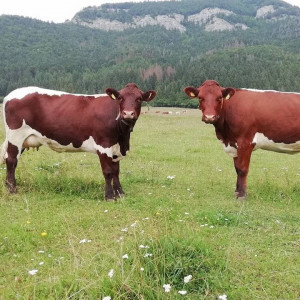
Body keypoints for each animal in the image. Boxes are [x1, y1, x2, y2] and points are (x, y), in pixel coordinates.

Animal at [0, 83, 157, 200]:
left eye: (139, 99)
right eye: (120, 98)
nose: (128, 113)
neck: (122, 136)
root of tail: (10, 95)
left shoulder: (116, 148)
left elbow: (116, 171)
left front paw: (120, 193)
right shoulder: (103, 145)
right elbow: (108, 172)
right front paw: (109, 196)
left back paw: (9, 186)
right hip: (15, 136)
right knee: (11, 160)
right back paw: (13, 190)